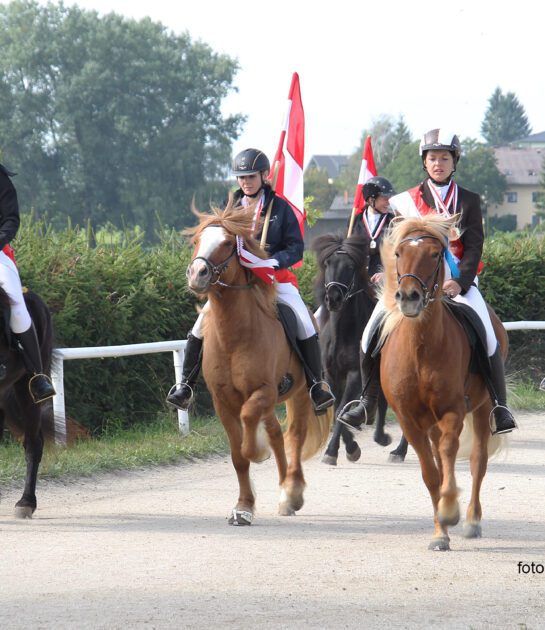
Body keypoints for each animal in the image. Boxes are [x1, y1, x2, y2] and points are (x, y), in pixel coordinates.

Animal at [185, 204, 332, 528]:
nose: (197, 274)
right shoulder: (222, 401)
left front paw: (258, 451)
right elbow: (238, 456)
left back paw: (291, 492)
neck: (234, 334)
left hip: (301, 395)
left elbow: (249, 432)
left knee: (294, 435)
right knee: (277, 432)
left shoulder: (263, 391)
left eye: (228, 243)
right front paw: (243, 507)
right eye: (197, 241)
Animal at [314, 235, 392, 466]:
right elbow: (337, 409)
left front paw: (333, 451)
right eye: (328, 263)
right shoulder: (331, 375)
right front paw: (349, 447)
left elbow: (341, 408)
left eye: (350, 266)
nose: (333, 298)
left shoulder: (355, 374)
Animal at [378, 215, 506, 552]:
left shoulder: (453, 411)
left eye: (436, 254)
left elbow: (450, 455)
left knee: (477, 461)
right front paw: (440, 532)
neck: (421, 348)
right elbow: (431, 473)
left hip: (483, 407)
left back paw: (472, 521)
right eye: (398, 253)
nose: (409, 297)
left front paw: (449, 511)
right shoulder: (409, 419)